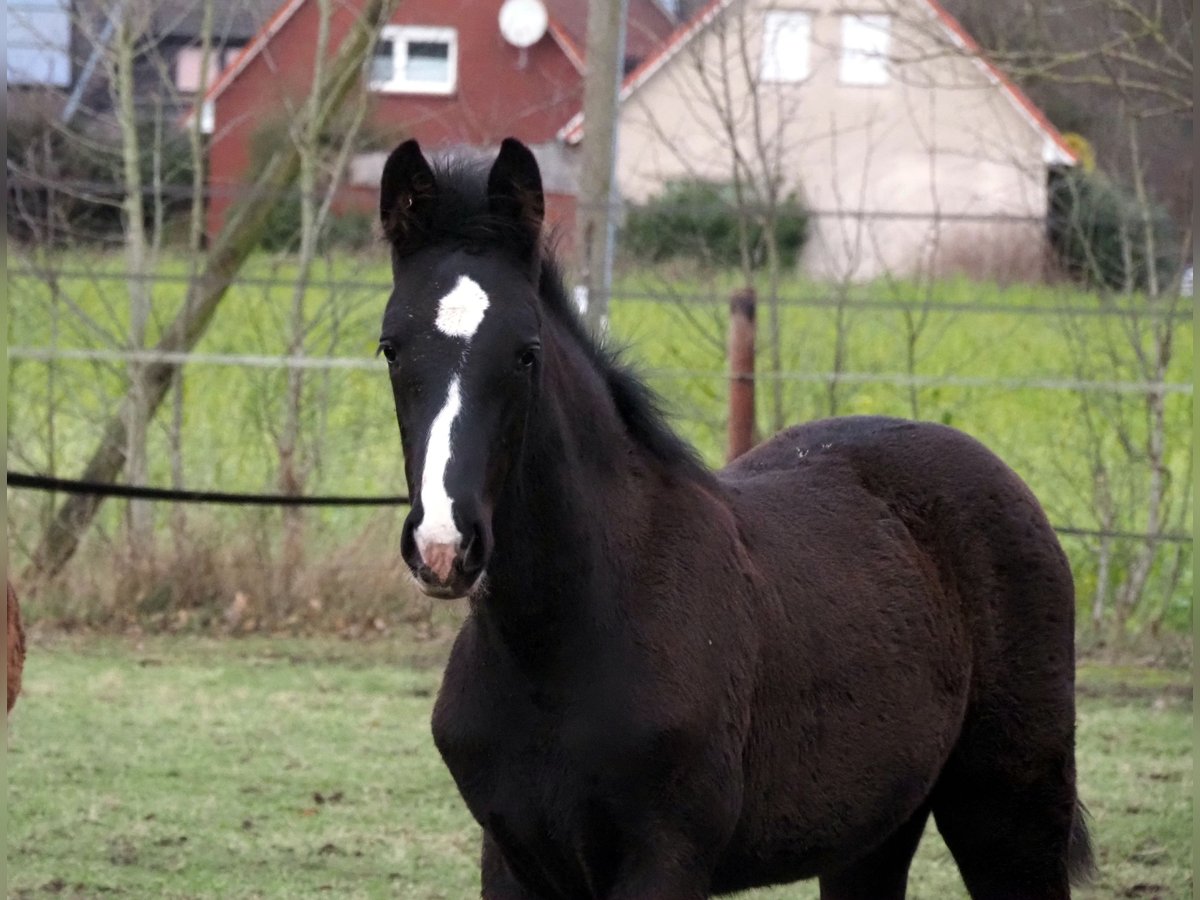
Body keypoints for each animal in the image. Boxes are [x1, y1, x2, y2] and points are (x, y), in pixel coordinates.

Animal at [379, 137, 1094, 897]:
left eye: (526, 352)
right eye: (391, 347)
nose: (444, 546)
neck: (554, 643)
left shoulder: (666, 859)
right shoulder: (511, 860)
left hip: (1010, 812)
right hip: (874, 831)